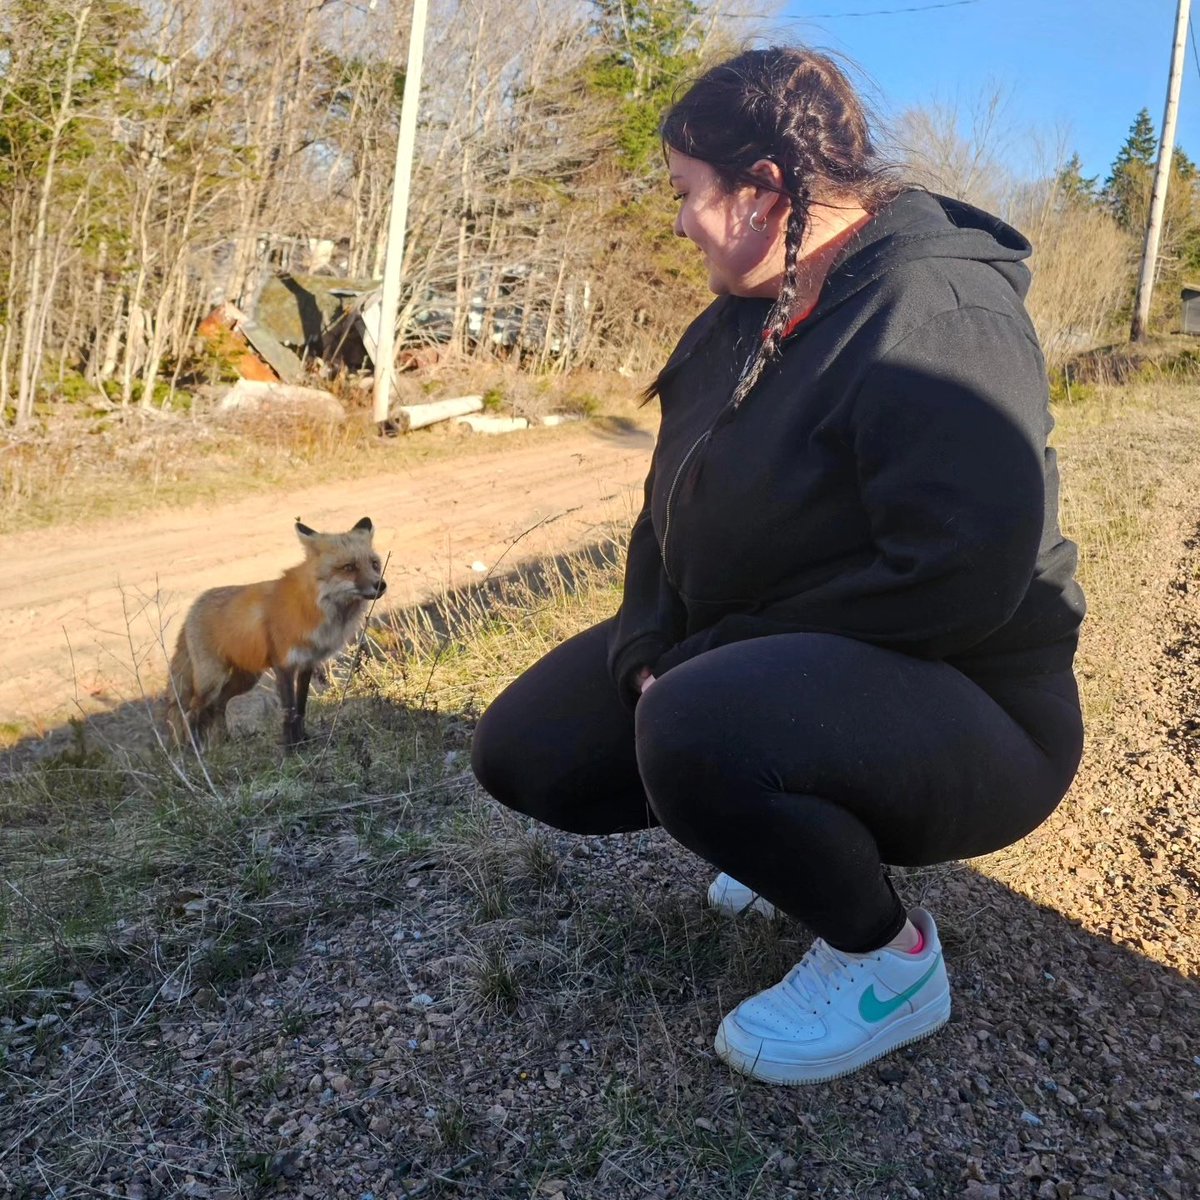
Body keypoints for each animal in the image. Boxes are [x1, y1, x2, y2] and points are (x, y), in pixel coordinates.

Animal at [165, 516, 384, 748]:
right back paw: (193, 749)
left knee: (218, 706)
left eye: (374, 564)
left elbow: (301, 708)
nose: (381, 584)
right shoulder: (284, 664)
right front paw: (291, 749)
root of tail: (193, 607)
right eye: (349, 567)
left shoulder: (307, 663)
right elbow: (289, 711)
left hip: (245, 679)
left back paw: (225, 744)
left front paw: (303, 741)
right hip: (212, 681)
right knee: (190, 712)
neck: (314, 606)